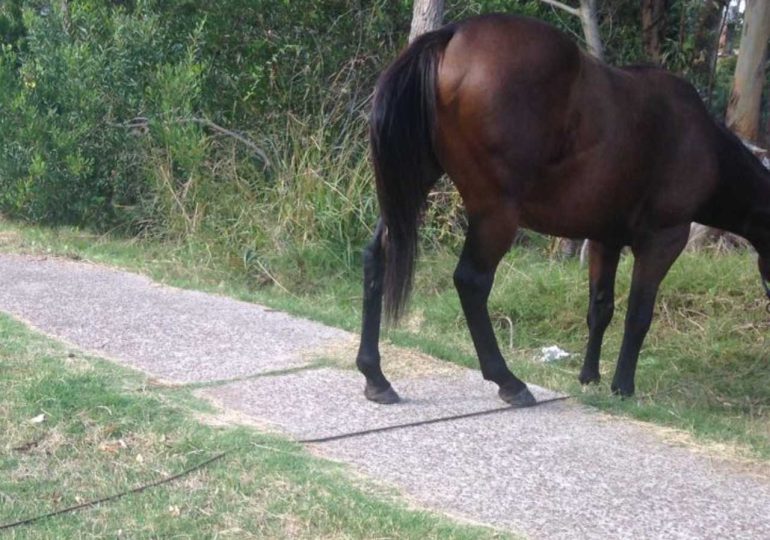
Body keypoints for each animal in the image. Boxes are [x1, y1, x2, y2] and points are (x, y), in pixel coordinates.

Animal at [355, 13, 770, 406]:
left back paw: (375, 376)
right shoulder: (663, 240)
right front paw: (623, 386)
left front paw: (589, 377)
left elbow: (601, 308)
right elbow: (639, 314)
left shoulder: (605, 239)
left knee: (378, 255)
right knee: (471, 281)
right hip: (496, 213)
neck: (703, 144)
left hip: (409, 185)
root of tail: (452, 35)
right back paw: (508, 381)